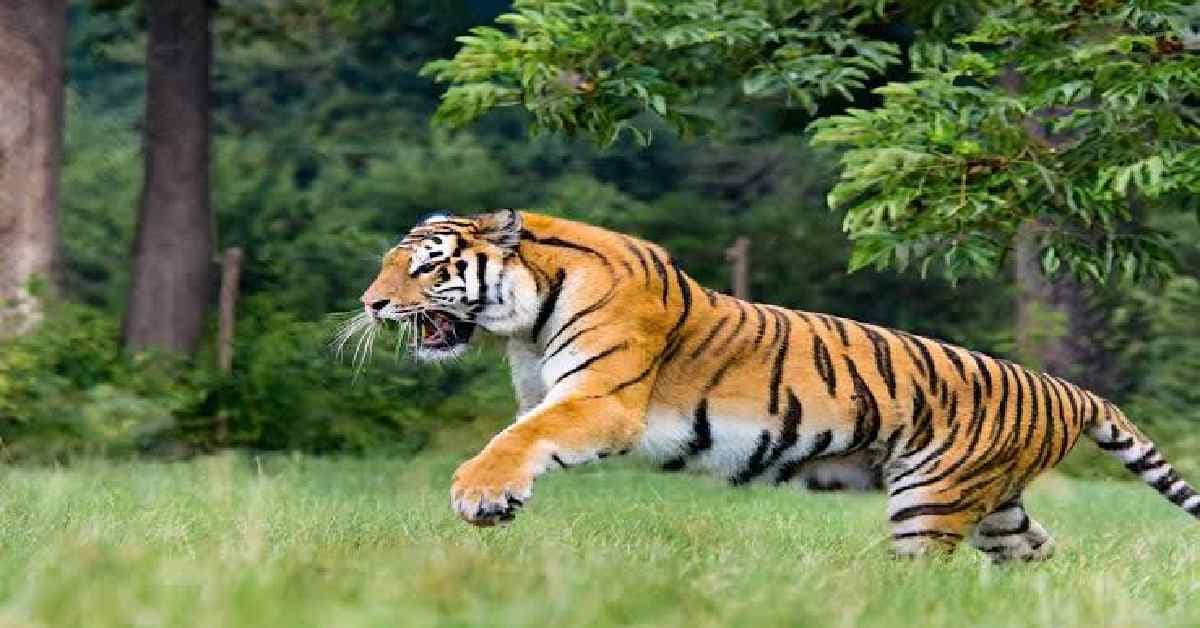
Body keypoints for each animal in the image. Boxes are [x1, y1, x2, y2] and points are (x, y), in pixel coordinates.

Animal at [358, 209, 1200, 560]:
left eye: (426, 267)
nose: (371, 305)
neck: (525, 319)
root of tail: (1070, 391)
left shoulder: (601, 401)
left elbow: (518, 438)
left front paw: (480, 494)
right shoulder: (555, 393)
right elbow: (521, 432)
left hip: (933, 500)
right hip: (995, 506)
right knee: (1038, 554)